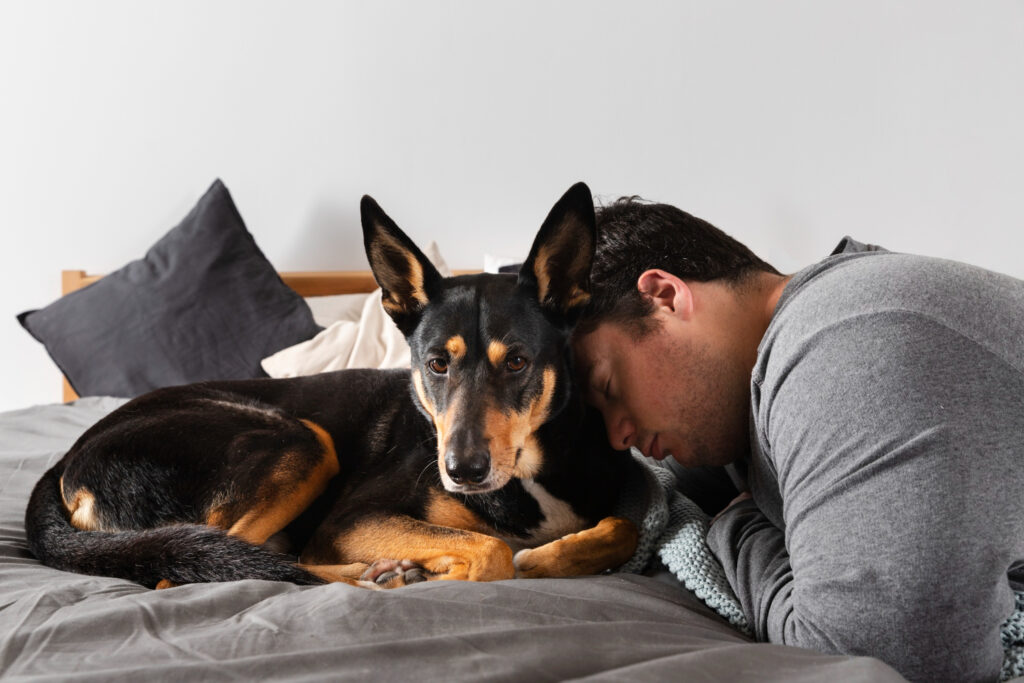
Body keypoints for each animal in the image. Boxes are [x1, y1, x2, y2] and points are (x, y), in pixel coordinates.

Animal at [25, 184, 638, 589]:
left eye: (516, 362)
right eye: (437, 364)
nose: (463, 472)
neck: (529, 473)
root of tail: (65, 462)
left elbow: (624, 526)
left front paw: (553, 556)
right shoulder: (353, 518)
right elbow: (493, 554)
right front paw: (457, 569)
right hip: (299, 440)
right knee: (206, 565)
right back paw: (384, 574)